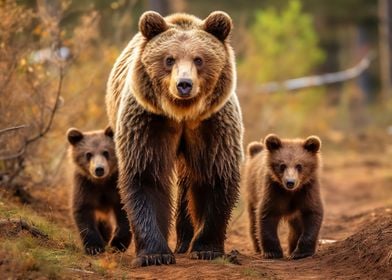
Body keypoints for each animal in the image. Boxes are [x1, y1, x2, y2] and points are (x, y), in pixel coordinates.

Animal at [65, 127, 130, 256]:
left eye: (106, 152)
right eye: (88, 154)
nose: (99, 169)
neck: (101, 182)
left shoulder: (114, 185)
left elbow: (123, 210)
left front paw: (118, 244)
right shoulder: (85, 186)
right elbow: (83, 211)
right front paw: (94, 247)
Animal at [105, 11, 243, 266]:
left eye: (199, 59)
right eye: (169, 59)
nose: (184, 84)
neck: (182, 114)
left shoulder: (212, 125)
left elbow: (214, 175)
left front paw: (207, 248)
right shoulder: (149, 122)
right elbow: (146, 176)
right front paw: (154, 254)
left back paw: (184, 241)